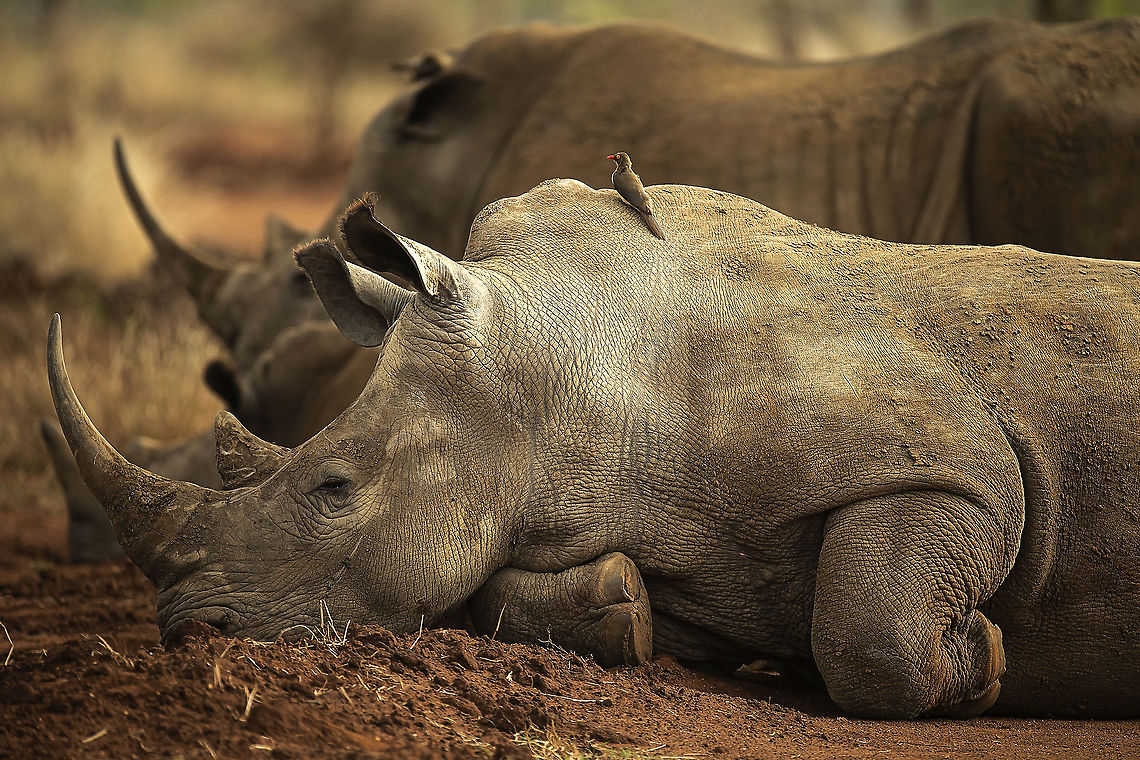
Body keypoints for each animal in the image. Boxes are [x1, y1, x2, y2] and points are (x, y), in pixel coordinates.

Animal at [48, 181, 1140, 718]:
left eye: (333, 486)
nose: (189, 630)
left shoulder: (959, 463)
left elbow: (869, 629)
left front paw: (985, 661)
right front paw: (624, 611)